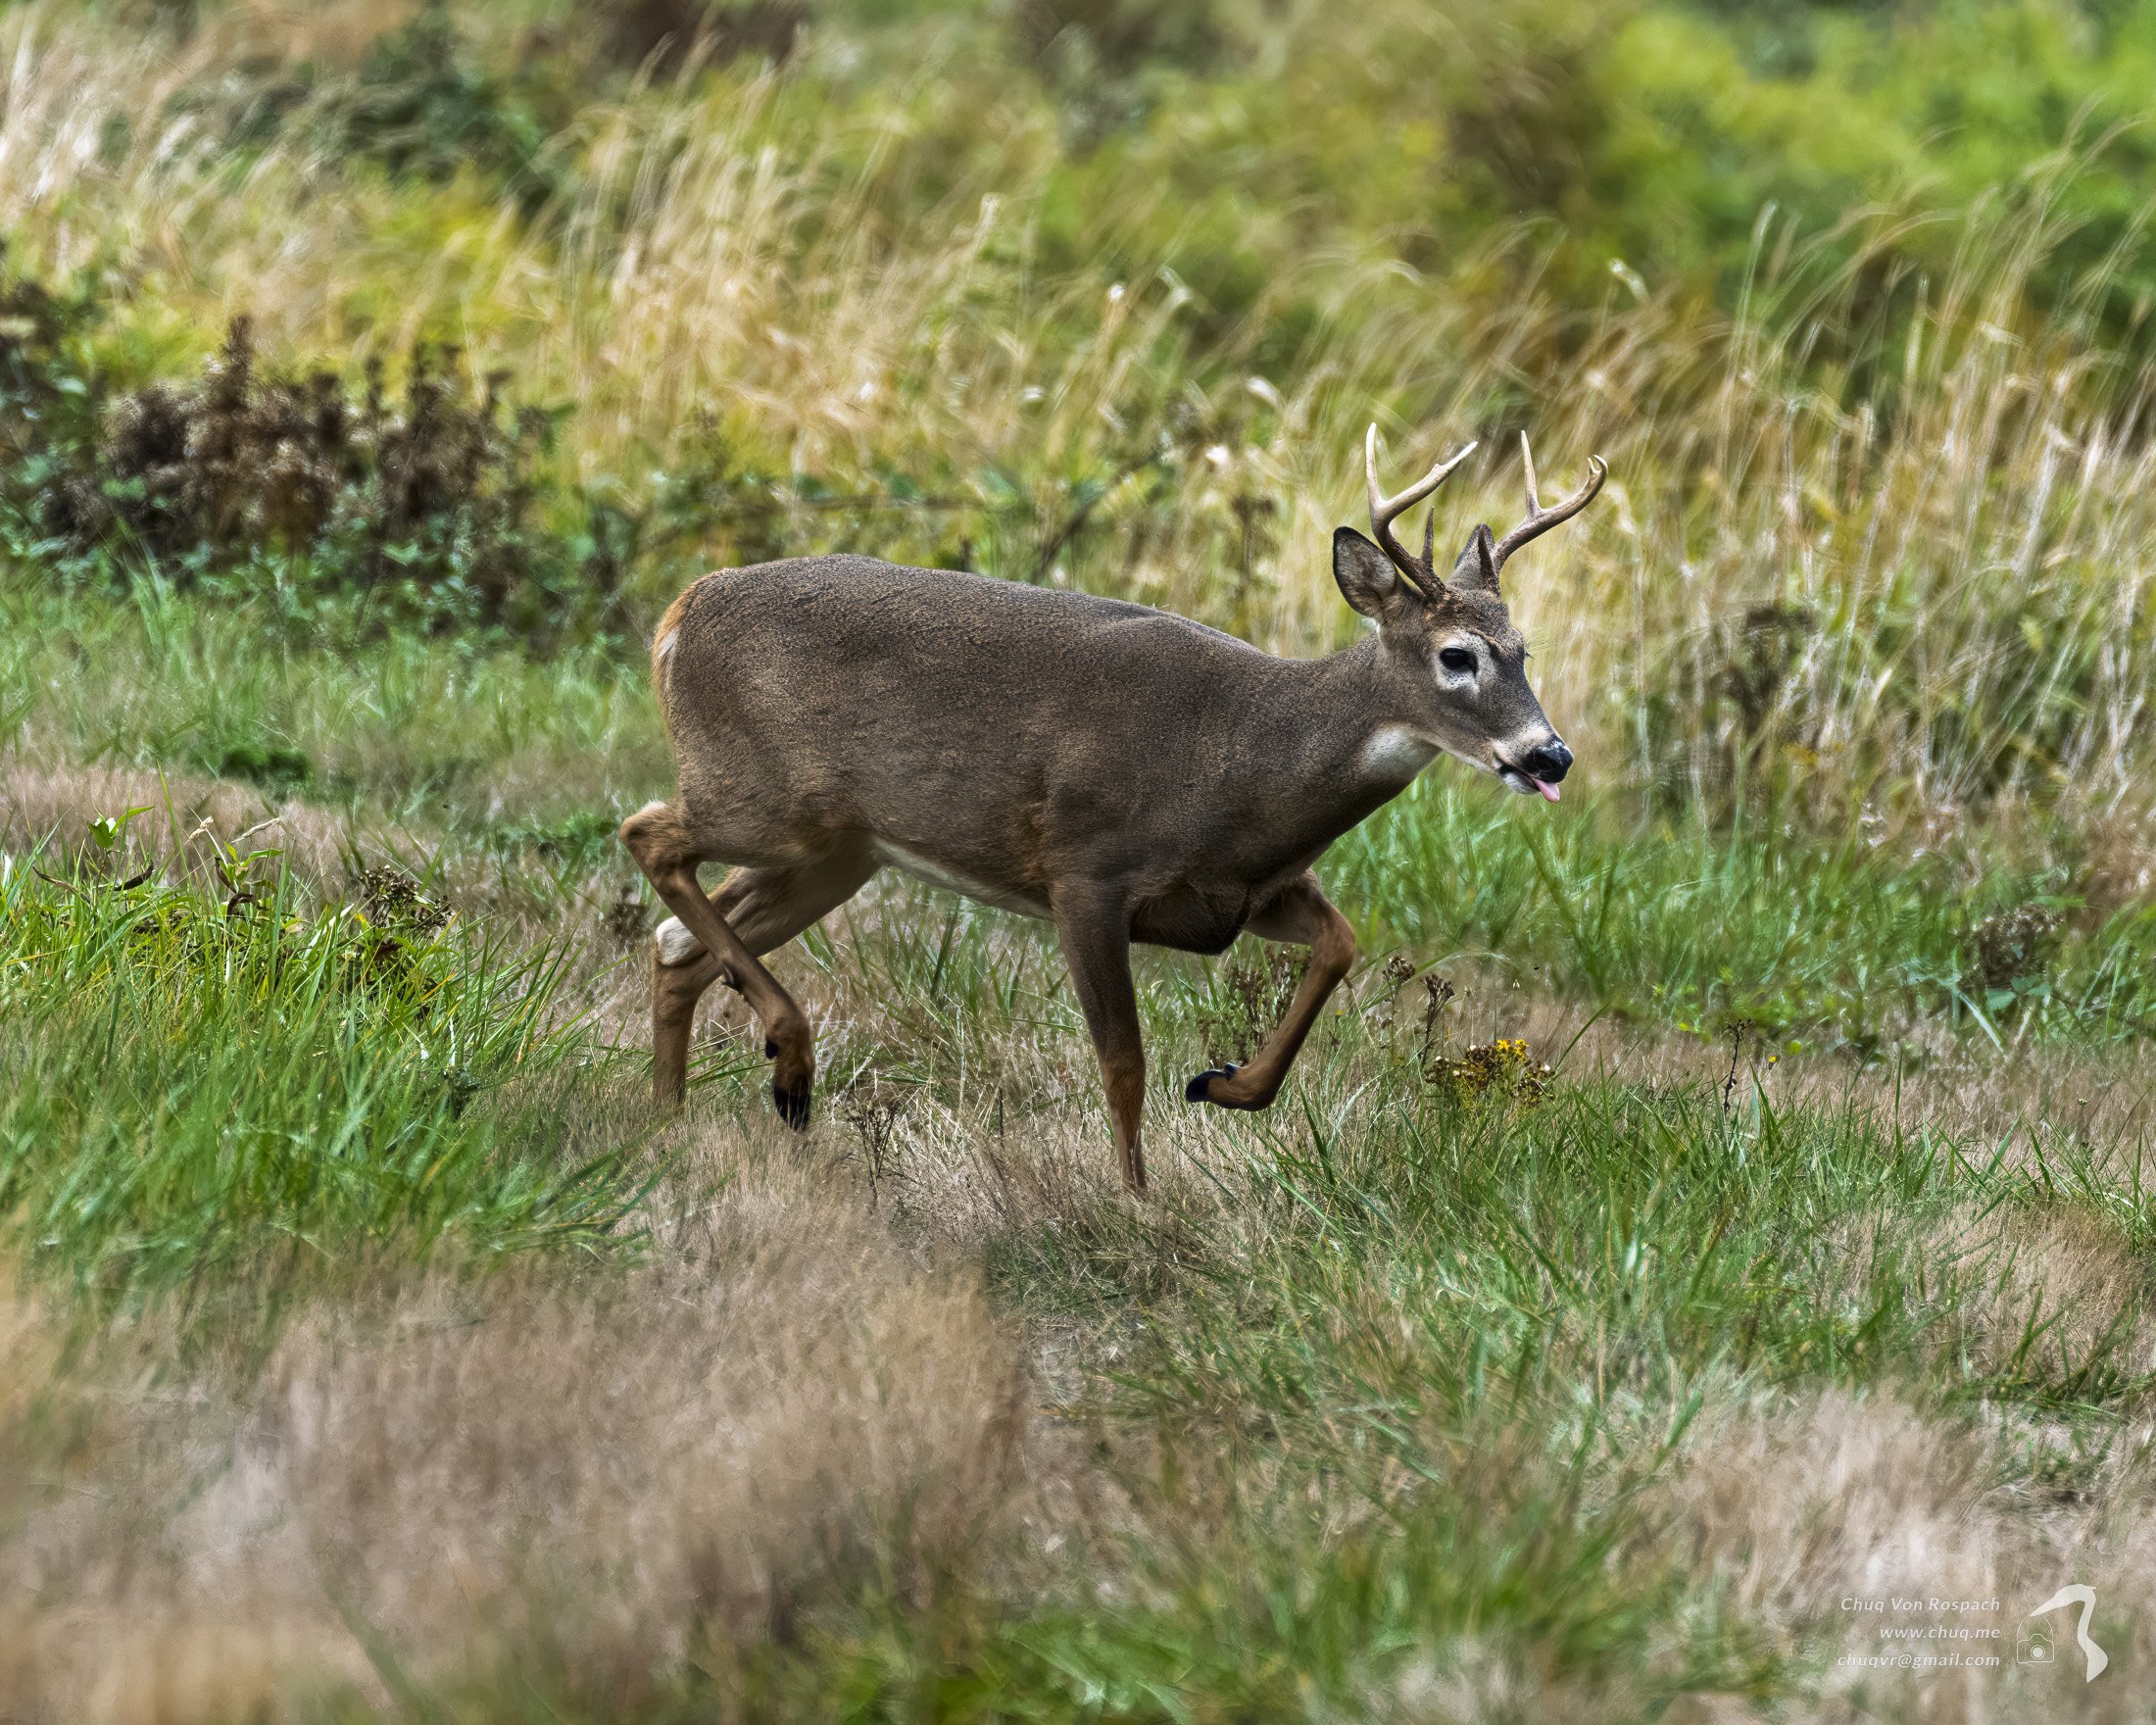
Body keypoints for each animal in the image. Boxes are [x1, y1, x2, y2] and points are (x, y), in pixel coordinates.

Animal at [620, 426, 1606, 1193]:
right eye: (1455, 656)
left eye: (1523, 650)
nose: (1548, 754)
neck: (1245, 763)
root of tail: (680, 609)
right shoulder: (1085, 871)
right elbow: (1123, 1062)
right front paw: (1137, 1199)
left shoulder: (1245, 894)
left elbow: (1341, 943)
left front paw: (1223, 1084)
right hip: (765, 799)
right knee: (648, 835)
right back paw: (786, 1062)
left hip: (839, 849)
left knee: (675, 944)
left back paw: (672, 1120)